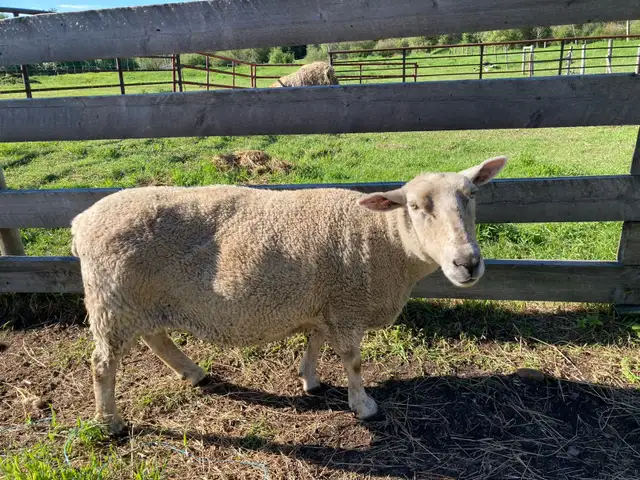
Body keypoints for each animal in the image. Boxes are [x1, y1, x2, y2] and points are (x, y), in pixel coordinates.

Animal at [71, 156, 507, 434]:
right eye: (415, 206)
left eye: (471, 196)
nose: (468, 262)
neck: (384, 240)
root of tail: (81, 221)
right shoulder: (347, 306)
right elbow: (353, 362)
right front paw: (363, 406)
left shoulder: (326, 300)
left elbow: (315, 341)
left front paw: (309, 379)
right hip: (112, 300)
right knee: (103, 365)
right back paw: (109, 423)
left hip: (140, 299)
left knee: (156, 337)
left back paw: (192, 373)